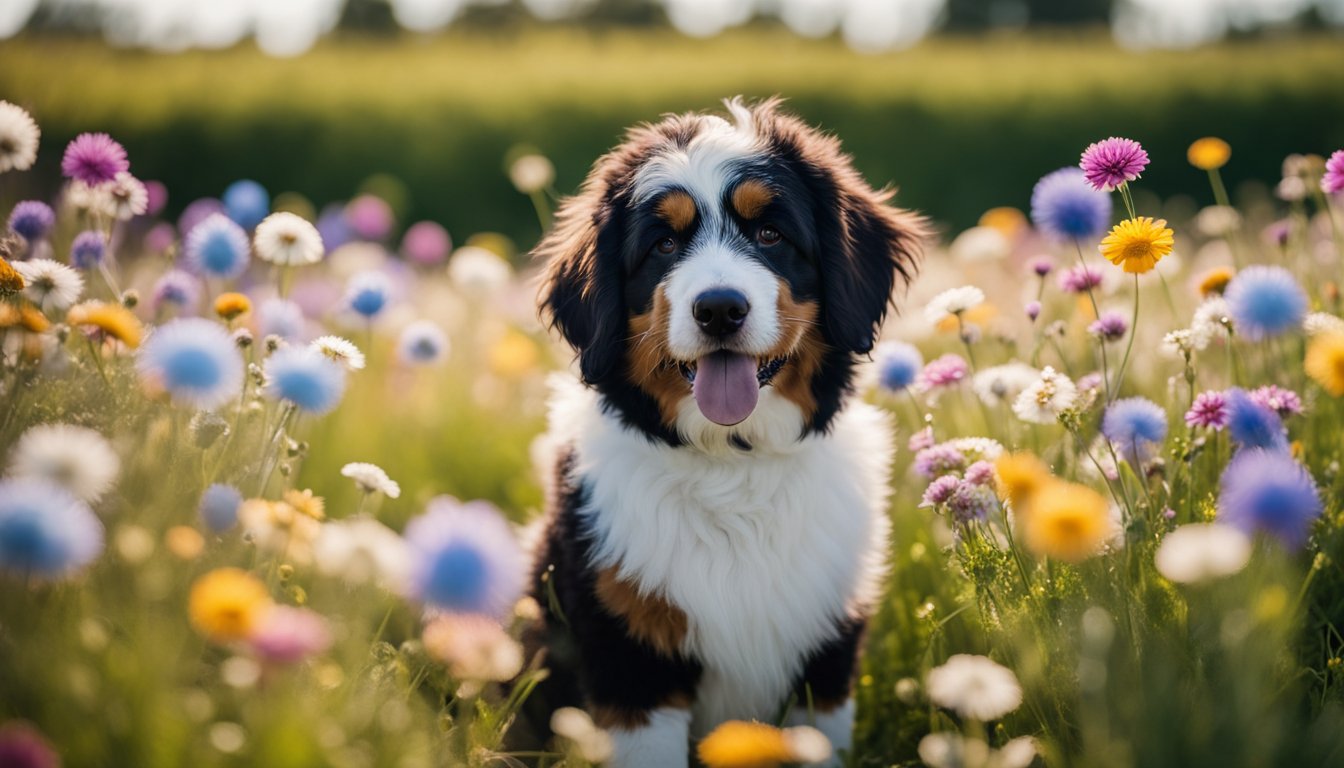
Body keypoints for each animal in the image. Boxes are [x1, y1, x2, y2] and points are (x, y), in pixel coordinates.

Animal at [529, 98, 930, 763]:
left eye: (770, 234)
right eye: (664, 244)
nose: (719, 309)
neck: (734, 466)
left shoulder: (825, 659)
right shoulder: (633, 666)